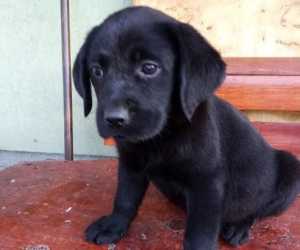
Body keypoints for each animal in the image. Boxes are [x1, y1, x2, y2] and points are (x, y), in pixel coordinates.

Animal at [73, 5, 300, 250]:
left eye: (149, 68)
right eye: (97, 71)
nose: (115, 119)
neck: (161, 136)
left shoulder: (207, 182)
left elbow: (200, 232)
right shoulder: (131, 164)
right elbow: (125, 198)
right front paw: (114, 224)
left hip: (290, 171)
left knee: (257, 210)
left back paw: (239, 227)